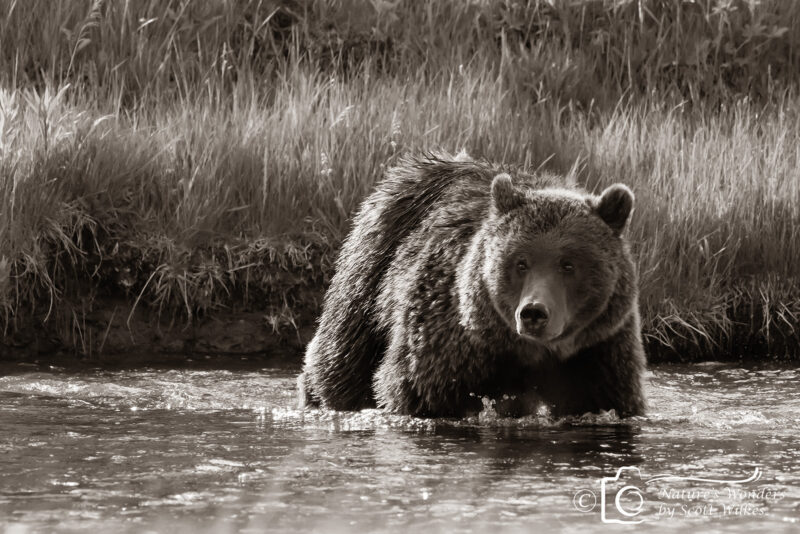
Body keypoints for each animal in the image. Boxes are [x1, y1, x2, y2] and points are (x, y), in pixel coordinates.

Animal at [296, 151, 648, 418]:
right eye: (520, 262)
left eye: (568, 264)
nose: (534, 313)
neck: (529, 352)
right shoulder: (450, 342)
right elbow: (418, 390)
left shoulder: (599, 352)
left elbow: (607, 400)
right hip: (372, 270)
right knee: (341, 355)